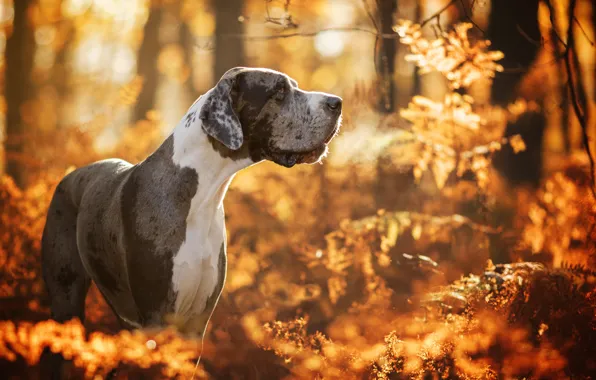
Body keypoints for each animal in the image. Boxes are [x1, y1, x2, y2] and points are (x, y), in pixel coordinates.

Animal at [40, 68, 340, 344]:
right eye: (279, 91)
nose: (337, 102)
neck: (202, 197)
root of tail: (70, 174)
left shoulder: (198, 323)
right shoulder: (157, 316)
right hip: (65, 296)